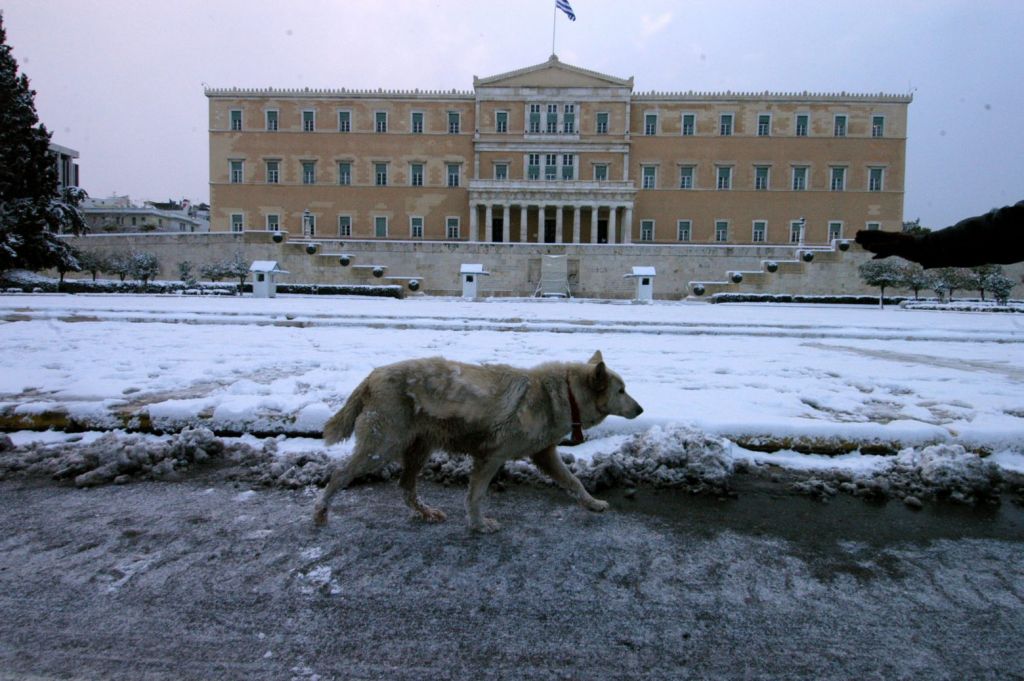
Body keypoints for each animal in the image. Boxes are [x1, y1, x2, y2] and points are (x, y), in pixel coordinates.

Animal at [315, 350, 643, 532]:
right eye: (622, 390)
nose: (641, 409)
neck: (565, 395)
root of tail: (372, 376)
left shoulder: (545, 455)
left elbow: (574, 483)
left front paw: (593, 504)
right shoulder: (491, 457)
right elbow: (476, 496)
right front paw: (479, 525)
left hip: (419, 449)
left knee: (406, 488)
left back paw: (426, 513)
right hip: (381, 449)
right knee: (339, 476)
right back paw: (320, 513)